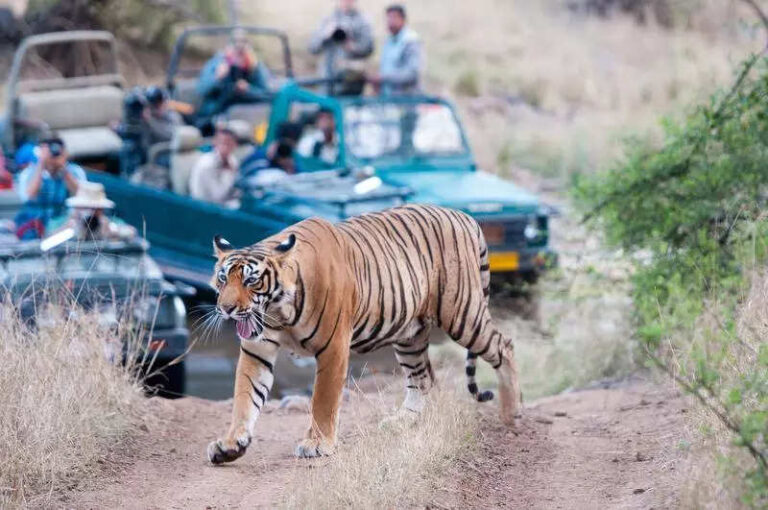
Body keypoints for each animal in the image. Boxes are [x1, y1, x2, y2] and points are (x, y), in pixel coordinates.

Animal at [206, 204, 521, 464]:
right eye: (223, 278)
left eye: (251, 281)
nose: (226, 308)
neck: (278, 312)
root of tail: (464, 216)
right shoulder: (257, 349)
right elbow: (245, 396)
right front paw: (230, 445)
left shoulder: (333, 347)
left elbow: (323, 400)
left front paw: (317, 444)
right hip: (410, 334)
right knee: (422, 378)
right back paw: (403, 422)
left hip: (462, 314)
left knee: (504, 346)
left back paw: (512, 415)